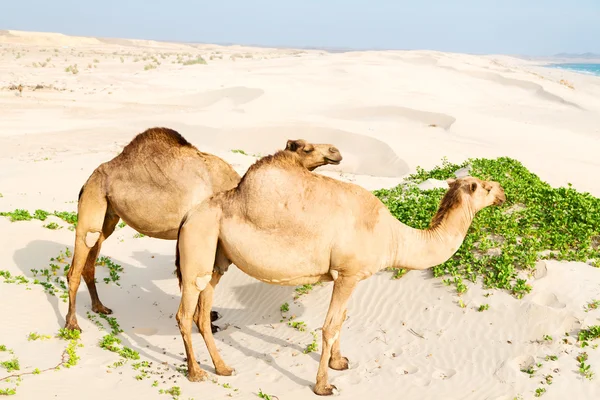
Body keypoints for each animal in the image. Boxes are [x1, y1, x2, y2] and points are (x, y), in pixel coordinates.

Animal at [64, 126, 342, 332]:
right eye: (306, 148)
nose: (335, 150)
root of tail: (89, 179)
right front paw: (208, 323)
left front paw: (211, 317)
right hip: (93, 200)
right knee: (77, 260)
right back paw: (72, 324)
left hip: (109, 214)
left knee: (93, 254)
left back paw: (100, 307)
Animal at [173, 149, 506, 394]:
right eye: (486, 187)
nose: (503, 193)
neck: (392, 236)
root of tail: (188, 215)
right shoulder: (347, 274)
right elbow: (330, 326)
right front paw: (323, 385)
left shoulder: (350, 277)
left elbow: (342, 319)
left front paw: (339, 362)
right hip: (198, 243)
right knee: (185, 312)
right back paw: (196, 373)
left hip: (217, 257)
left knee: (203, 309)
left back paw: (223, 368)